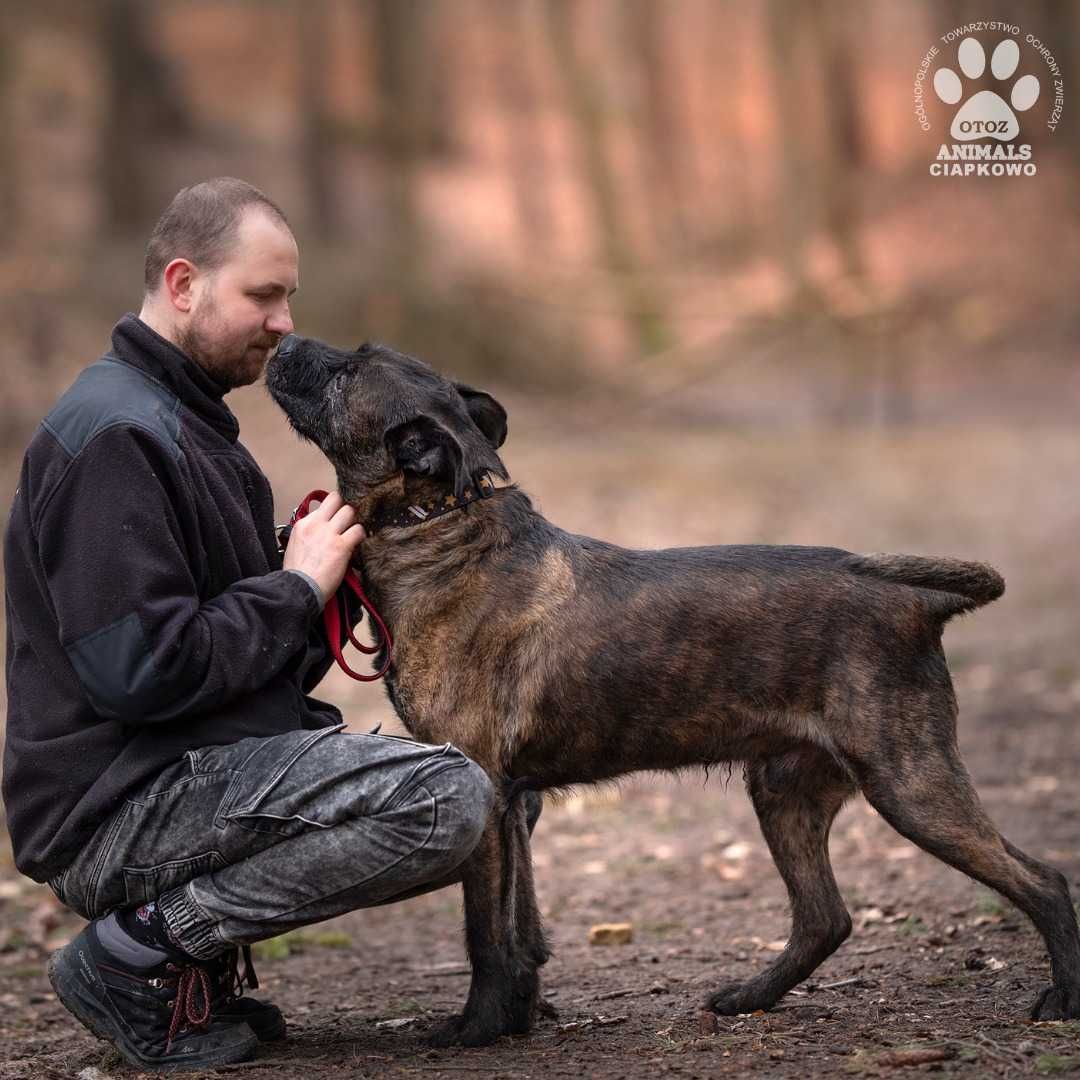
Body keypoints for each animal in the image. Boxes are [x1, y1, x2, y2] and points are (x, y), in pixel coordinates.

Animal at [263, 336, 1080, 1045]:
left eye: (346, 372)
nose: (284, 340)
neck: (440, 523)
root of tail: (914, 600)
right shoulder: (515, 803)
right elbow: (522, 930)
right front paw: (521, 1015)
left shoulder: (484, 792)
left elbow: (484, 932)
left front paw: (477, 1030)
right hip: (786, 789)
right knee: (826, 918)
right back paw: (750, 998)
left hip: (909, 782)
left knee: (1043, 880)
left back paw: (1062, 998)